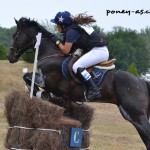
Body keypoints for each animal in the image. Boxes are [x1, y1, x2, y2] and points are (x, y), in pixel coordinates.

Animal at [7, 17, 150, 149]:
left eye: (15, 35)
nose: (10, 57)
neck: (50, 54)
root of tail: (142, 81)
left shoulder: (50, 81)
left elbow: (27, 77)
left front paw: (40, 93)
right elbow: (28, 78)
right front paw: (41, 94)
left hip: (136, 114)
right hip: (130, 114)